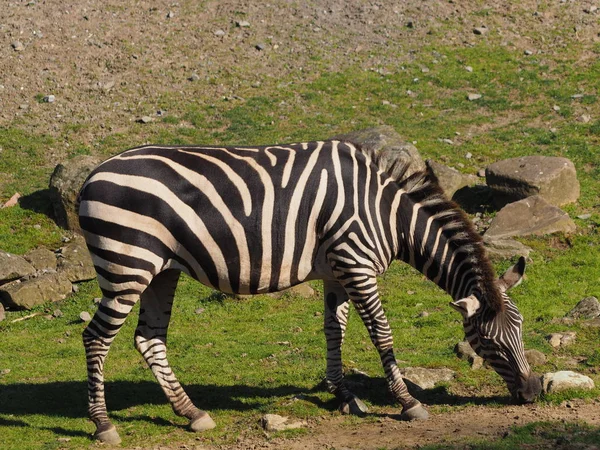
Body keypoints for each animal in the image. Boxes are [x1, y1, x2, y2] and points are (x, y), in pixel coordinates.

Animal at [77, 140, 540, 442]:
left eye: (521, 329)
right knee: (96, 338)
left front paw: (344, 395)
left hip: (161, 271)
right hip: (128, 265)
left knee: (149, 338)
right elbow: (382, 333)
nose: (533, 393)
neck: (389, 215)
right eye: (486, 340)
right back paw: (103, 424)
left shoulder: (338, 272)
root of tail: (92, 175)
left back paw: (192, 413)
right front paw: (408, 402)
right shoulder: (357, 264)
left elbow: (335, 330)